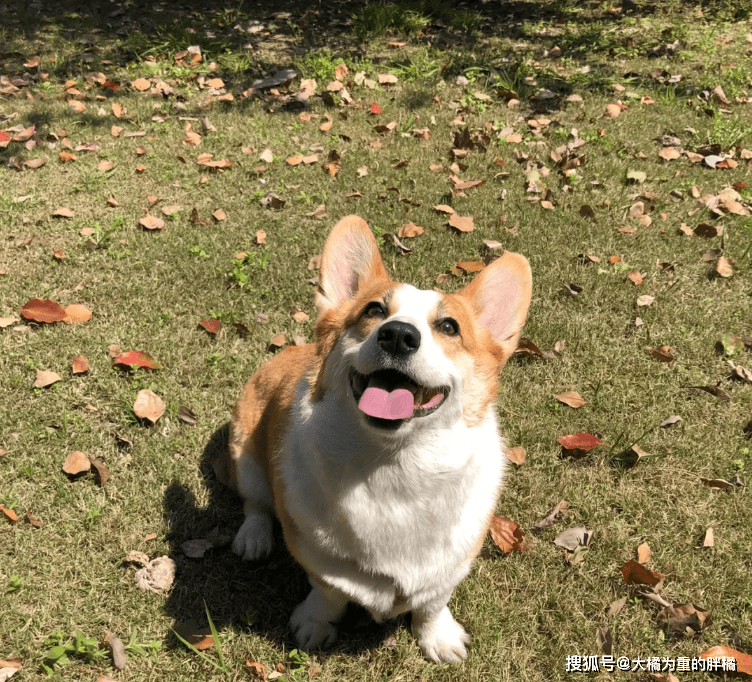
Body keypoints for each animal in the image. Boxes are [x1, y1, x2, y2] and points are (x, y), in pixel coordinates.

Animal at [214, 215, 532, 660]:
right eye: (375, 310)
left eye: (448, 327)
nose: (397, 335)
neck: (395, 465)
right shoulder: (317, 557)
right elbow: (328, 593)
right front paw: (315, 624)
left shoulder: (451, 566)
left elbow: (433, 604)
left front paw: (437, 637)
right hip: (244, 447)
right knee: (256, 502)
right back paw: (254, 538)